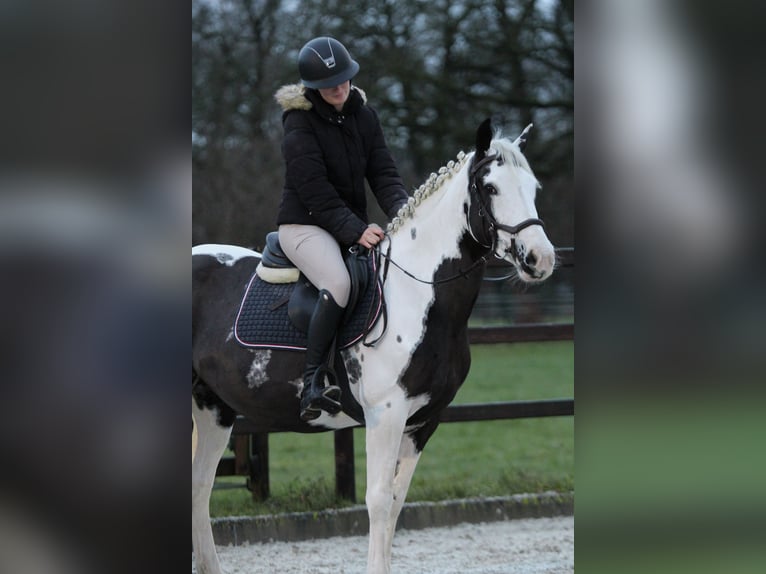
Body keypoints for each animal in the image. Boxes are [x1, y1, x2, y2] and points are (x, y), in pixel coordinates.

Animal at [194, 118, 560, 574]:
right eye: (490, 187)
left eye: (533, 187)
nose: (540, 260)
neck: (416, 292)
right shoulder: (385, 415)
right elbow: (379, 501)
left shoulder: (423, 421)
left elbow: (397, 502)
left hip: (214, 408)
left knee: (199, 487)